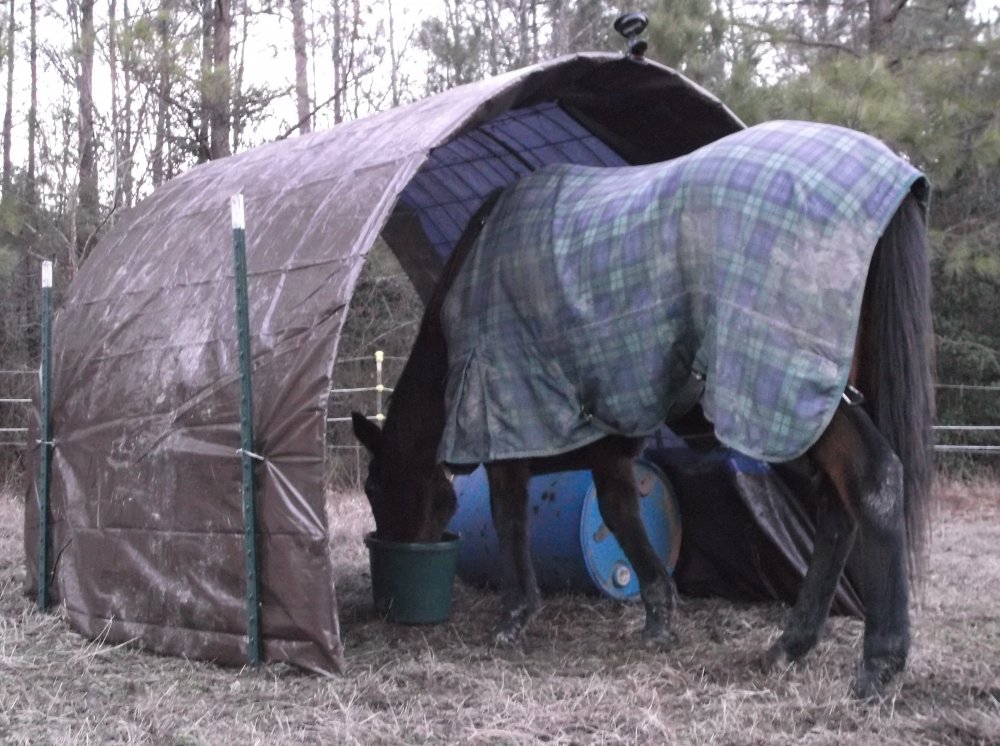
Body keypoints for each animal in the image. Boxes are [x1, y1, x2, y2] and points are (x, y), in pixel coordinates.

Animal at [348, 119, 932, 696]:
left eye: (374, 487)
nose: (399, 555)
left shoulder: (503, 420)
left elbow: (510, 516)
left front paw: (513, 619)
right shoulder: (607, 444)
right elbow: (620, 514)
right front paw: (659, 620)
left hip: (789, 393)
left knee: (874, 481)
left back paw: (880, 662)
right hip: (805, 406)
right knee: (837, 509)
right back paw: (791, 645)